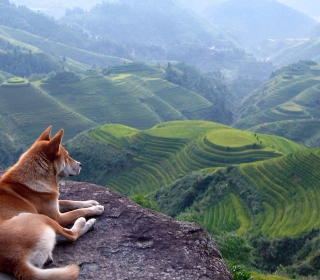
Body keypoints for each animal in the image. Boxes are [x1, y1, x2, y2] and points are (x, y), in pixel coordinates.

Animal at [0, 127, 104, 280]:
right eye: (67, 156)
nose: (81, 164)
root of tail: (15, 261)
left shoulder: (54, 202)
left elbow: (70, 202)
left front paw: (90, 202)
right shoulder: (57, 217)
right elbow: (76, 211)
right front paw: (95, 208)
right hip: (41, 218)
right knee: (71, 235)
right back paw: (86, 222)